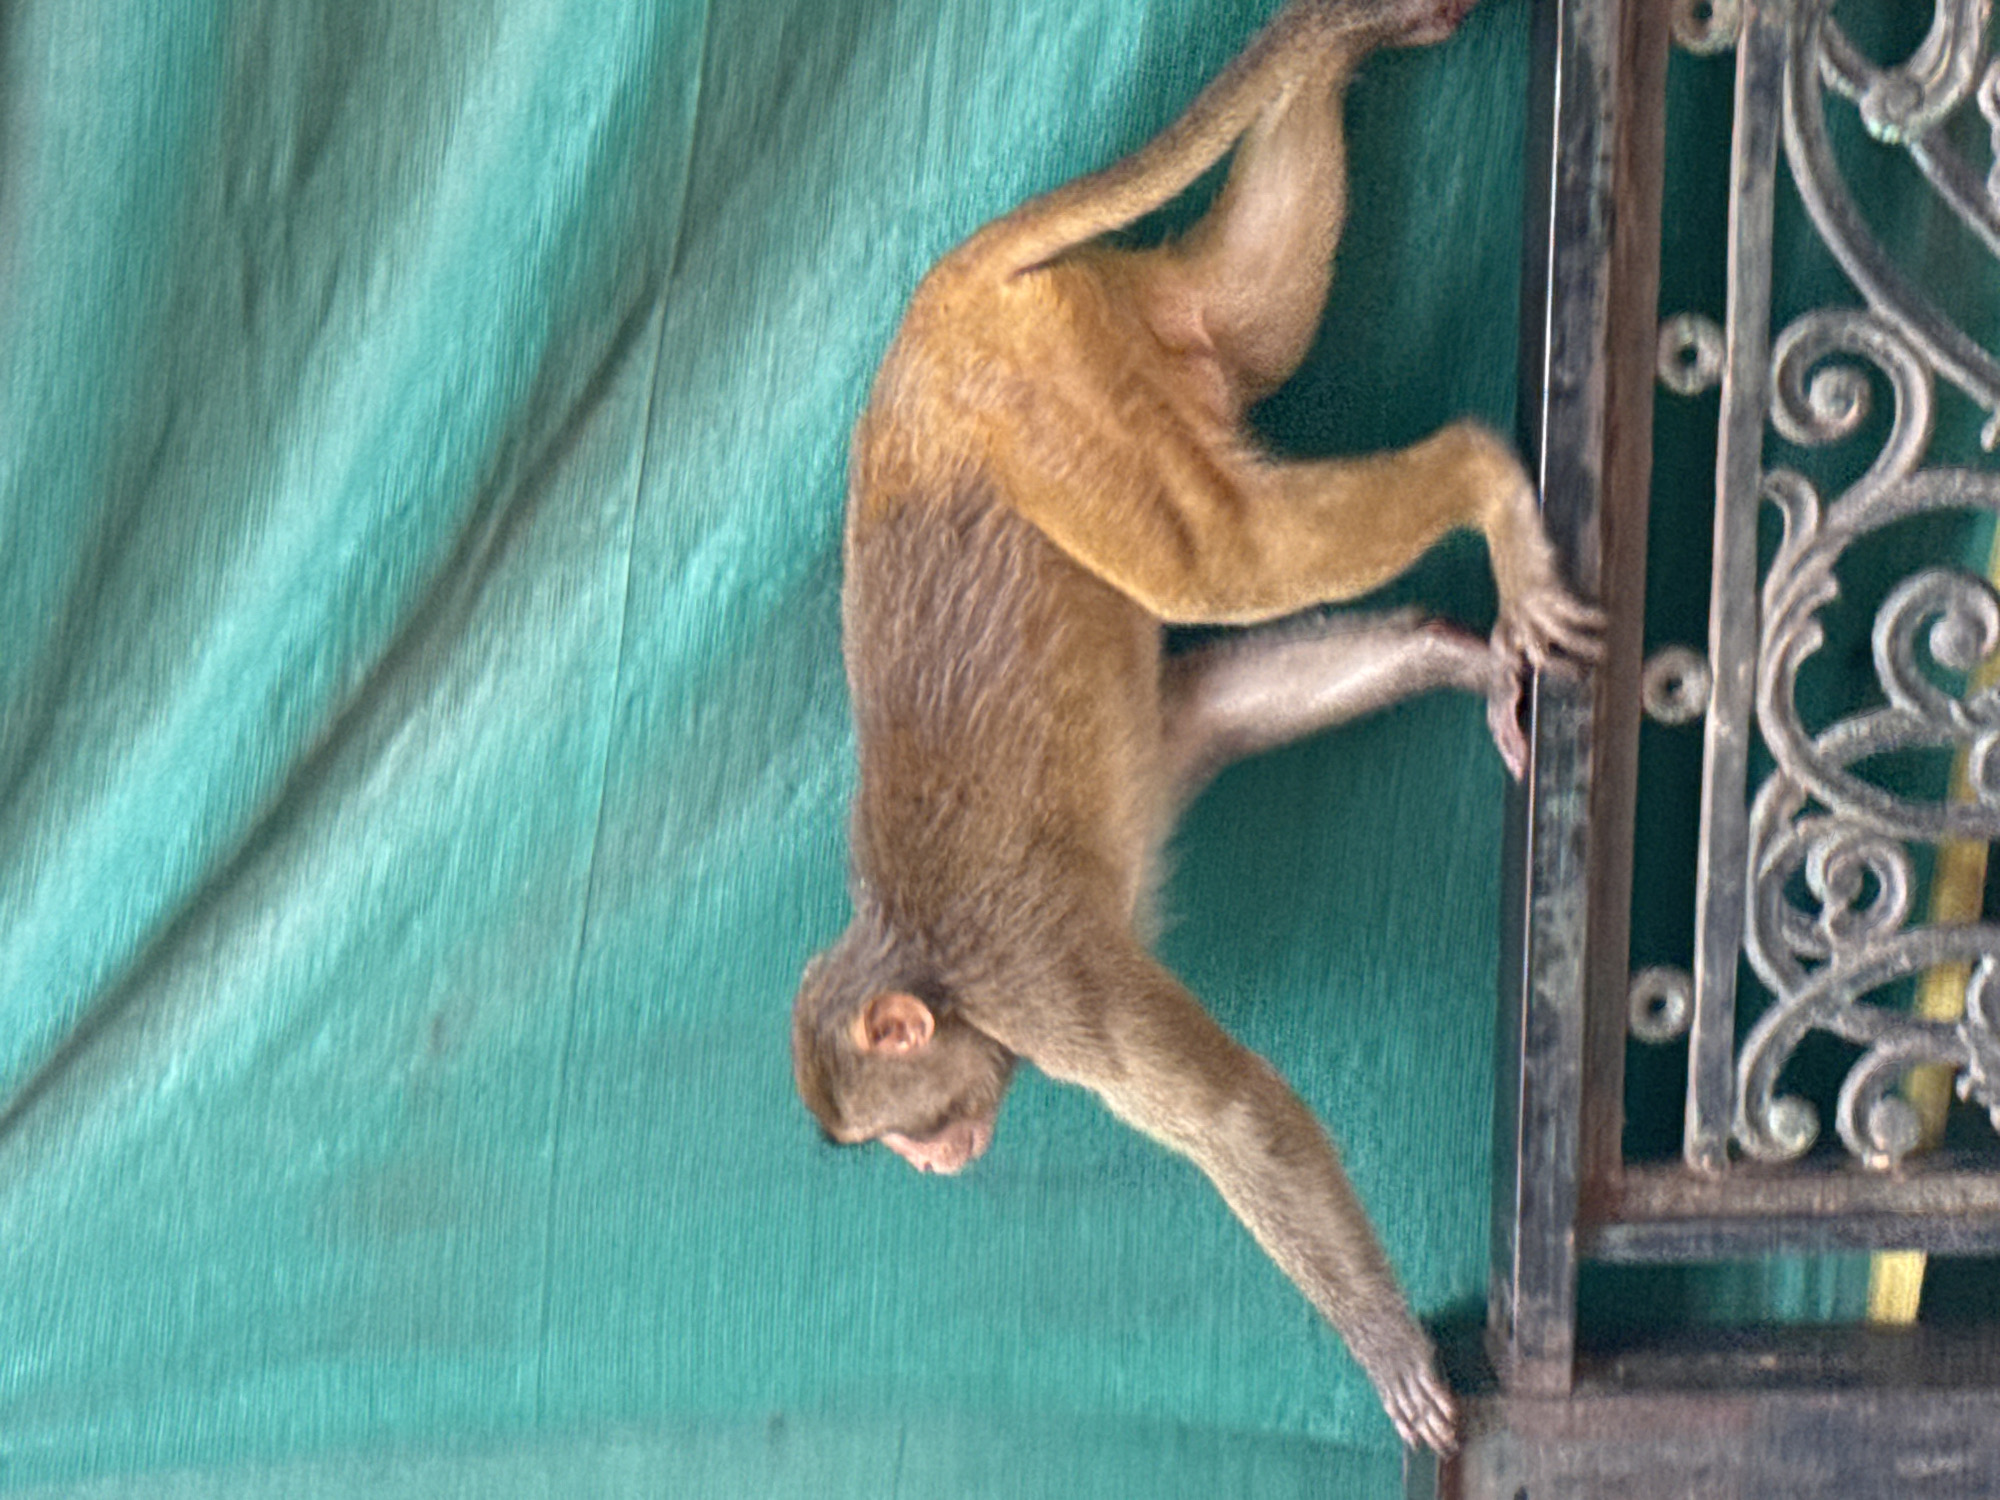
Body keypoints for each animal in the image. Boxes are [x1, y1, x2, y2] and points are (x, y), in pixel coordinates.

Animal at [791, 0, 1601, 1455]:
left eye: (894, 1130)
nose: (932, 1166)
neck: (930, 967)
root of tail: (937, 303)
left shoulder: (1045, 988)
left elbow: (1228, 1113)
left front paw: (1385, 1345)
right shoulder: (1135, 800)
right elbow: (1205, 711)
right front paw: (1451, 661)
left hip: (1050, 413)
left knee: (1212, 560)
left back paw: (1479, 481)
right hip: (1119, 338)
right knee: (1250, 326)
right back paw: (1343, 50)